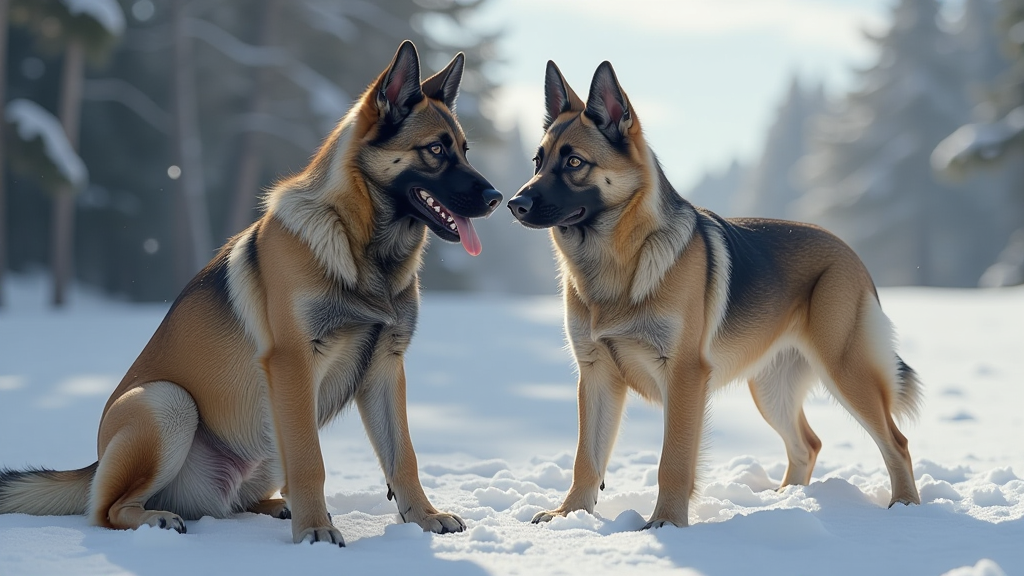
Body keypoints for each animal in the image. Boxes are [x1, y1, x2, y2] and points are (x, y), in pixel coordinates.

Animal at [0, 40, 499, 541]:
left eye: (465, 150)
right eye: (435, 150)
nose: (497, 198)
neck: (361, 248)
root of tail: (94, 464)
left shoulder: (385, 368)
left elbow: (403, 456)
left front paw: (423, 517)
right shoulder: (294, 363)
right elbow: (311, 461)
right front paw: (314, 532)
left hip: (263, 439)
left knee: (239, 501)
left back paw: (274, 506)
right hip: (169, 403)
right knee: (108, 510)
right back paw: (156, 518)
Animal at [507, 60, 925, 528]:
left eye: (575, 162)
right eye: (538, 161)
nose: (513, 203)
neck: (620, 264)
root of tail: (849, 251)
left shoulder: (684, 376)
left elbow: (672, 460)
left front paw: (666, 523)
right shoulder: (595, 375)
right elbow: (587, 459)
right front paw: (571, 515)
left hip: (845, 370)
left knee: (896, 442)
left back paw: (905, 508)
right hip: (771, 390)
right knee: (808, 443)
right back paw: (789, 501)